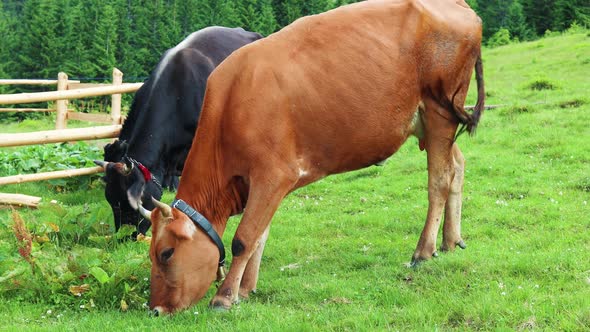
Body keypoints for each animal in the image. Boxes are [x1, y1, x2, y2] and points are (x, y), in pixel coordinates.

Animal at [139, 0, 486, 314]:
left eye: (166, 253)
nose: (155, 309)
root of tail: (456, 5)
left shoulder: (272, 174)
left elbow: (245, 238)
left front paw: (224, 297)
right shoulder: (264, 186)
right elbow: (260, 235)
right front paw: (246, 289)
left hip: (440, 111)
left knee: (439, 181)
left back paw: (424, 251)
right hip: (428, 122)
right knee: (457, 166)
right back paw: (451, 240)